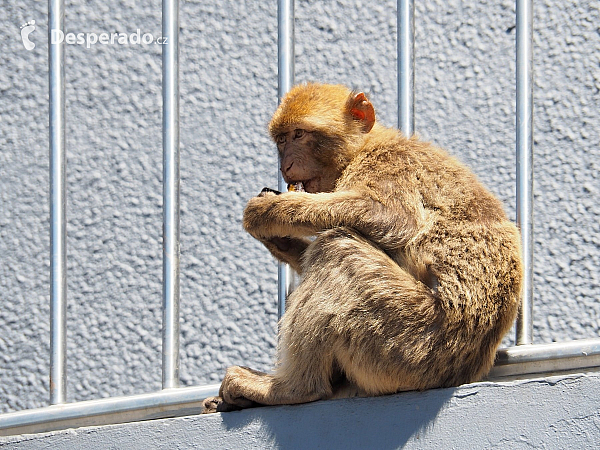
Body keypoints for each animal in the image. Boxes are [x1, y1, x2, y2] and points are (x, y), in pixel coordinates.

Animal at [202, 82, 520, 414]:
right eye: (281, 139)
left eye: (299, 134)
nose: (285, 164)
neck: (363, 147)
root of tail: (464, 372)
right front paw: (276, 237)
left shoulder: (390, 164)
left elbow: (393, 218)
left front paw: (270, 211)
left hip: (408, 339)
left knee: (337, 249)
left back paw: (294, 388)